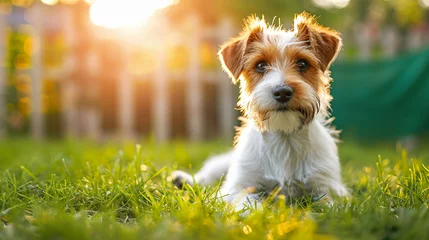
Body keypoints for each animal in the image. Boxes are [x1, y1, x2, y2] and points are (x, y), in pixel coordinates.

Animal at [172, 12, 350, 212]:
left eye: (303, 64)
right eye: (260, 65)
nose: (282, 92)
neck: (284, 138)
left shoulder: (327, 188)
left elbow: (329, 206)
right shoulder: (238, 188)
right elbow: (251, 206)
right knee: (207, 175)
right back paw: (183, 180)